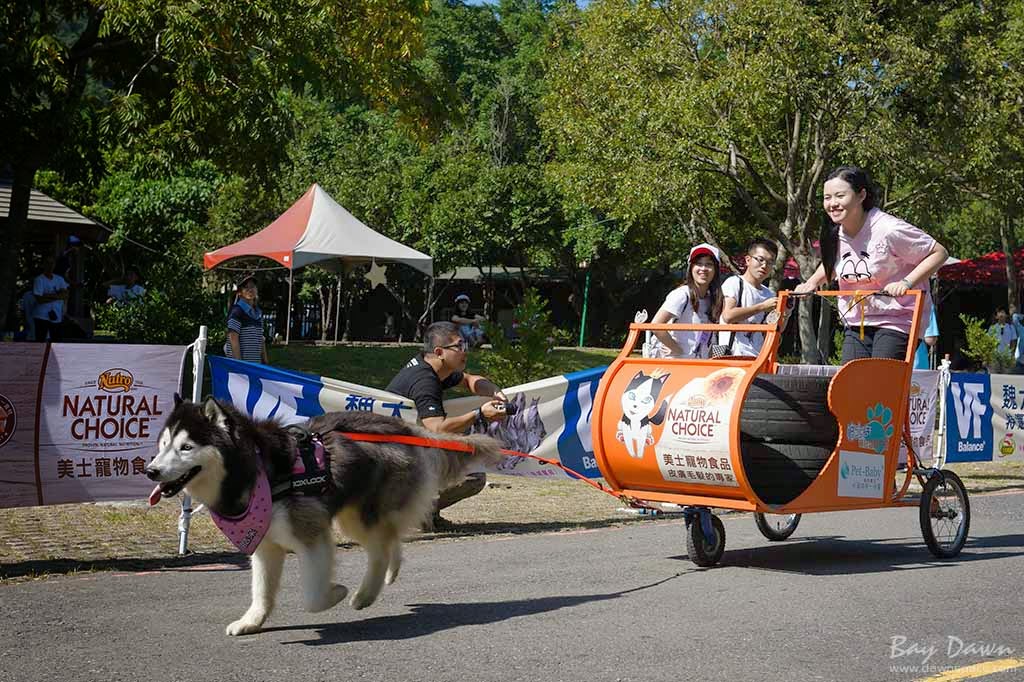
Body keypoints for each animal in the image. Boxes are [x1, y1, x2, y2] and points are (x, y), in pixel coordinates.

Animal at [147, 395, 503, 634]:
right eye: (163, 444)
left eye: (186, 447)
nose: (151, 471)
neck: (257, 470)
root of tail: (401, 425)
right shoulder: (264, 542)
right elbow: (261, 591)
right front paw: (252, 621)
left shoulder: (311, 534)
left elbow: (313, 597)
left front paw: (337, 593)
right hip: (354, 514)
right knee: (391, 539)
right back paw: (389, 573)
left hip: (360, 515)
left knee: (381, 546)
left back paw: (364, 594)